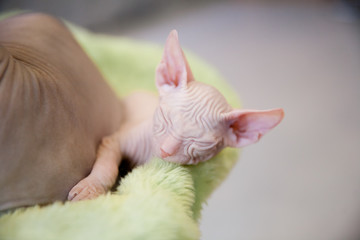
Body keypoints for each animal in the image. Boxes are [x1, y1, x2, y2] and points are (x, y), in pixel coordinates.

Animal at [68, 31, 284, 202]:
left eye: (200, 144)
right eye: (166, 118)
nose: (165, 150)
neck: (149, 154)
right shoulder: (114, 140)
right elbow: (107, 167)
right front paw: (90, 188)